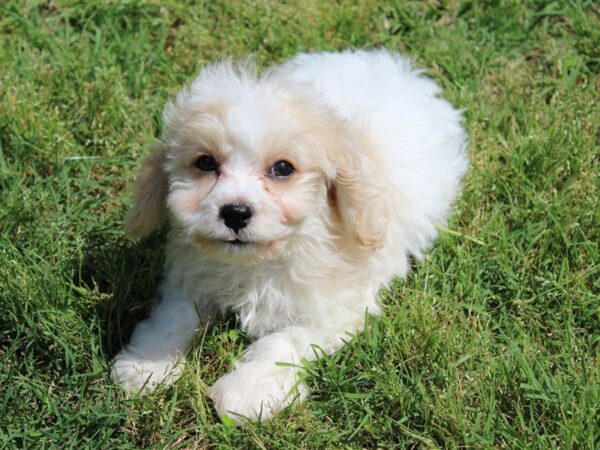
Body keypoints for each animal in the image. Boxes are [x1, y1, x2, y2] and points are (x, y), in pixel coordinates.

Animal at [111, 51, 468, 424]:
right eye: (205, 163)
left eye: (282, 169)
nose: (235, 212)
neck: (260, 262)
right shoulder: (191, 276)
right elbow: (176, 314)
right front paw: (147, 364)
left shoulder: (339, 309)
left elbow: (285, 339)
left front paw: (246, 392)